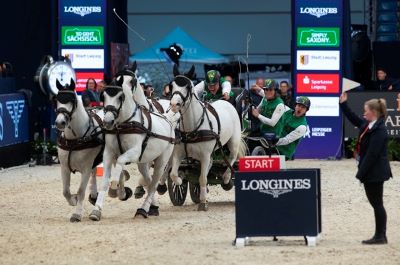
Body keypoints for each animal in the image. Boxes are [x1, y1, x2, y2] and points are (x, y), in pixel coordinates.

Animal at [90, 74, 177, 219]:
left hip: (161, 161)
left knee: (154, 184)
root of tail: (168, 119)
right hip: (144, 162)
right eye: (103, 96)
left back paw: (143, 209)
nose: (107, 122)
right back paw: (153, 206)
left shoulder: (135, 152)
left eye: (120, 97)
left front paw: (115, 188)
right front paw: (96, 210)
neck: (122, 125)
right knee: (148, 180)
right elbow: (105, 180)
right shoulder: (109, 153)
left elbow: (120, 163)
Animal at [168, 64, 245, 210]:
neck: (192, 128)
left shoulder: (204, 155)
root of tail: (225, 102)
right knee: (210, 164)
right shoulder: (178, 154)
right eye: (171, 85)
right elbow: (173, 174)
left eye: (187, 86)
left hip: (233, 142)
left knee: (231, 157)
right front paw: (180, 180)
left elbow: (203, 179)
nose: (174, 105)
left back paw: (226, 178)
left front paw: (203, 203)